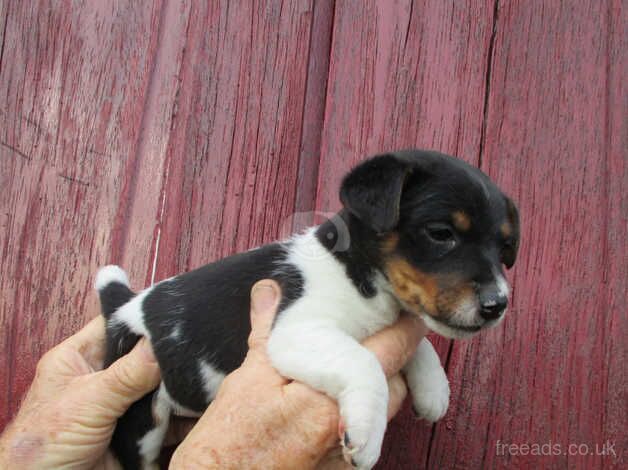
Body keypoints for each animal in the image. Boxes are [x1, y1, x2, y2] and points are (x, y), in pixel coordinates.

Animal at [97, 149, 520, 468]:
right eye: (441, 234)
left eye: (504, 248)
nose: (497, 305)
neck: (355, 272)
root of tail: (124, 305)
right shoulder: (296, 331)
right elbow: (364, 362)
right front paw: (367, 433)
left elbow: (422, 344)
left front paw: (434, 389)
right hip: (140, 423)